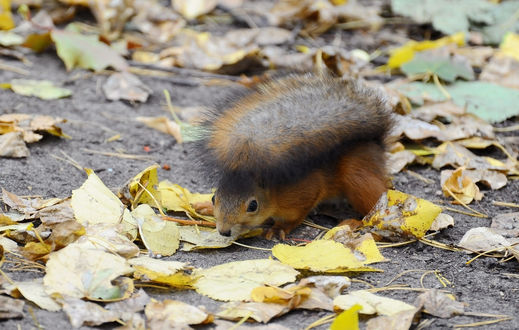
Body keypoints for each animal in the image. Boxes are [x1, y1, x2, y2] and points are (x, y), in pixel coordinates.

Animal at [195, 72, 394, 238]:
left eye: (253, 205)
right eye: (214, 198)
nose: (224, 231)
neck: (274, 191)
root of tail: (377, 143)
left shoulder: (304, 192)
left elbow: (296, 215)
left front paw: (279, 228)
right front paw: (204, 206)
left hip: (357, 176)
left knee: (375, 207)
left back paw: (355, 222)